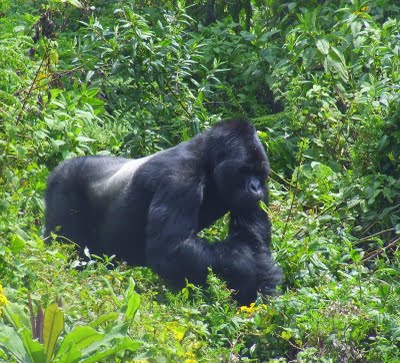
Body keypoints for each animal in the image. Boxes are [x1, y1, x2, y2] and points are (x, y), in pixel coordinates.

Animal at [44, 120, 282, 304]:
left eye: (259, 173)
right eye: (244, 171)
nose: (255, 188)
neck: (206, 160)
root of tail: (60, 167)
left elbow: (253, 240)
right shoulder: (179, 178)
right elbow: (170, 250)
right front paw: (245, 267)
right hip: (64, 184)